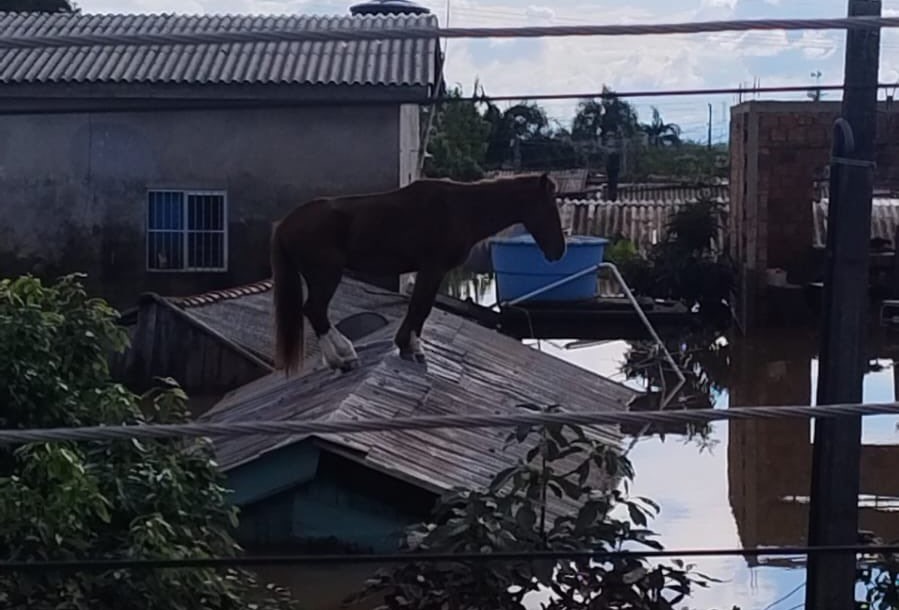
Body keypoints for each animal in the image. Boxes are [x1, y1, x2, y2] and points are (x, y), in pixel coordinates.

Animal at [268, 169, 568, 372]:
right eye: (549, 206)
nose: (559, 251)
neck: (460, 210)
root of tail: (285, 224)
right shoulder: (432, 269)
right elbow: (420, 307)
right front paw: (411, 347)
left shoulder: (431, 271)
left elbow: (420, 307)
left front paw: (408, 345)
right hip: (326, 275)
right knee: (315, 310)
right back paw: (343, 357)